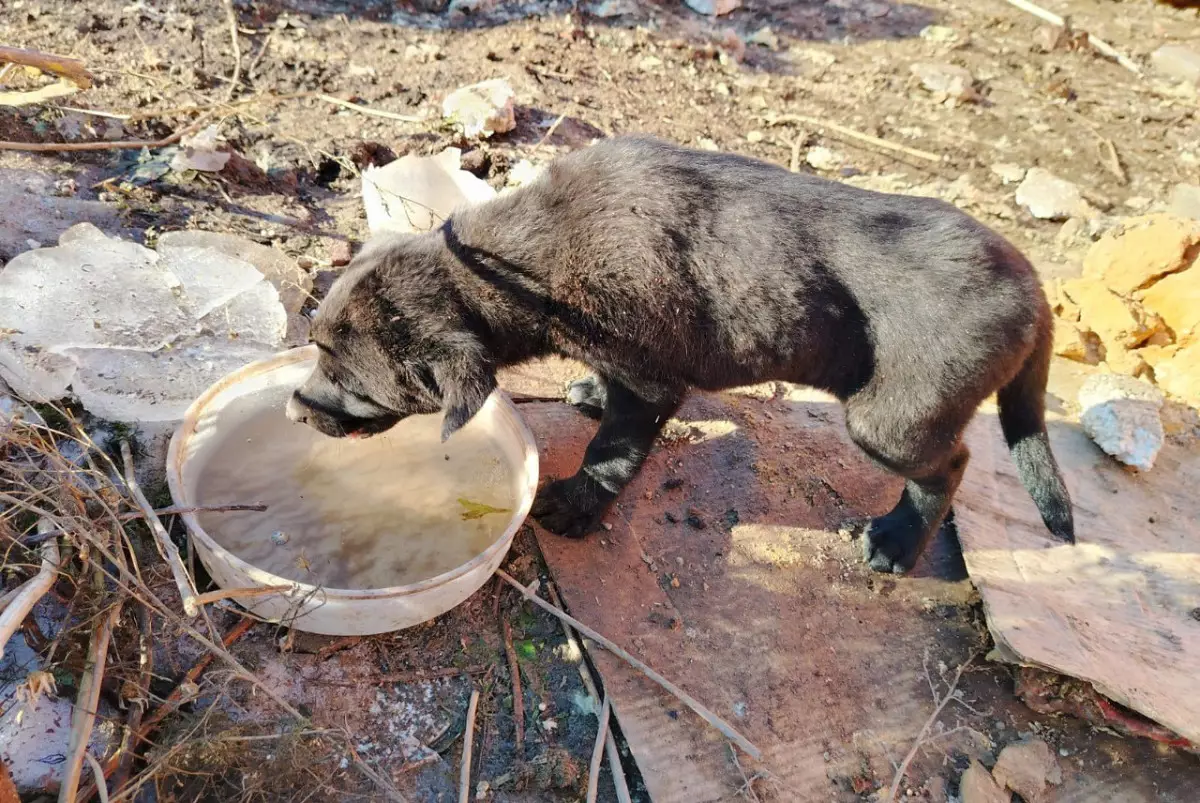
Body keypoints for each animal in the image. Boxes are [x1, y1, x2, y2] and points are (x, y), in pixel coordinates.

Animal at [285, 138, 1075, 576]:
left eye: (352, 381)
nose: (293, 409)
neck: (519, 265)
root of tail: (1037, 291)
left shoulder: (651, 381)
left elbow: (612, 451)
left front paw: (574, 505)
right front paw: (588, 393)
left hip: (895, 420)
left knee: (950, 466)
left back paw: (896, 542)